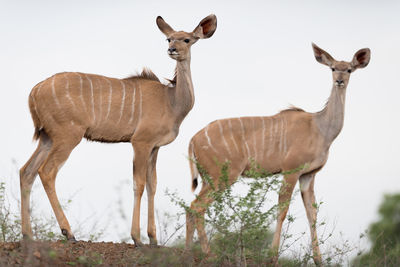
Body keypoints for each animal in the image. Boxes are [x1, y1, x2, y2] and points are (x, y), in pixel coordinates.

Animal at [19, 14, 217, 247]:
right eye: (169, 39)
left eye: (186, 39)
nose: (172, 50)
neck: (171, 101)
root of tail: (35, 90)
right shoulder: (140, 142)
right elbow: (138, 184)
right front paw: (137, 239)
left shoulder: (154, 147)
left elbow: (152, 185)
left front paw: (153, 239)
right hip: (67, 137)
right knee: (47, 172)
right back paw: (68, 233)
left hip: (47, 138)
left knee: (26, 172)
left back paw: (28, 235)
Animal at [186, 43, 370, 264]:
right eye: (333, 68)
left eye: (349, 69)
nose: (340, 80)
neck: (320, 128)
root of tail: (194, 139)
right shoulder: (291, 171)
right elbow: (282, 210)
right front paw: (272, 257)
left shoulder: (309, 175)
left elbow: (312, 214)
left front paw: (319, 260)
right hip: (222, 176)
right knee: (197, 207)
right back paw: (209, 254)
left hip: (209, 178)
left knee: (191, 207)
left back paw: (187, 252)